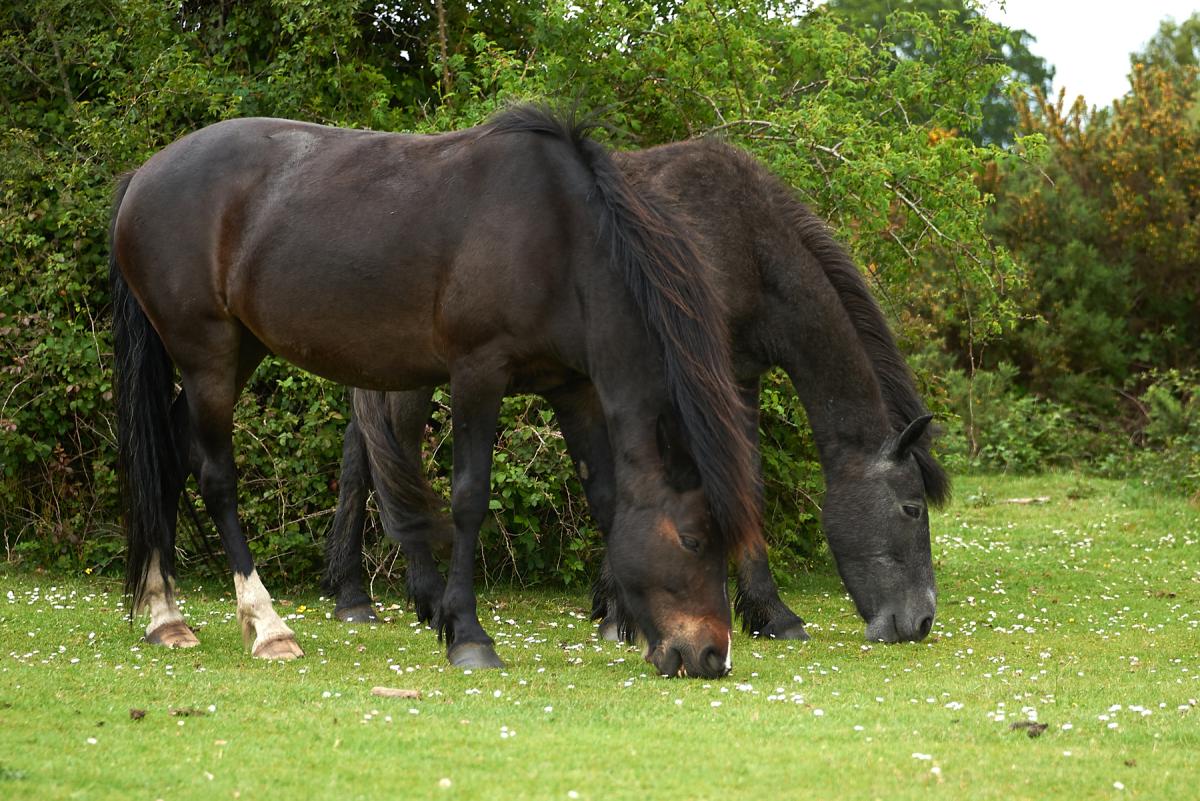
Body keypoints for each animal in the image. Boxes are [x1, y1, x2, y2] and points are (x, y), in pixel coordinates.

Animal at [108, 105, 764, 678]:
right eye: (693, 539)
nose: (713, 656)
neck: (554, 235)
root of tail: (142, 176)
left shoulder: (573, 389)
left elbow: (605, 500)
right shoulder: (478, 373)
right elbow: (470, 498)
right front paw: (468, 636)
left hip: (237, 352)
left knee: (168, 456)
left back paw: (165, 615)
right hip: (207, 355)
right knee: (214, 476)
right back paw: (266, 626)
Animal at [323, 136, 950, 644]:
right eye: (912, 508)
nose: (921, 621)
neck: (744, 245)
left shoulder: (737, 380)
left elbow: (745, 481)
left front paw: (769, 613)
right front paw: (623, 611)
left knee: (361, 453)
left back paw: (353, 594)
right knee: (394, 456)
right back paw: (418, 597)